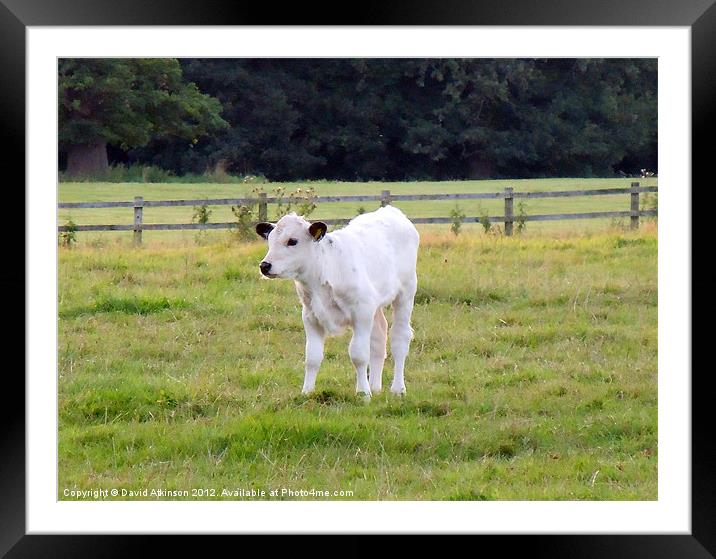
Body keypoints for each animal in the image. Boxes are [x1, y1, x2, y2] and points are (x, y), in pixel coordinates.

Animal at [256, 206, 420, 398]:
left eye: (292, 241)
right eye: (270, 240)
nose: (265, 265)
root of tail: (391, 210)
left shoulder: (361, 313)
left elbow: (359, 355)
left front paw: (363, 394)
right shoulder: (310, 317)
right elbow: (312, 357)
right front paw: (307, 392)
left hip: (406, 293)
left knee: (399, 339)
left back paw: (397, 389)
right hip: (375, 304)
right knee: (379, 337)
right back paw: (375, 387)